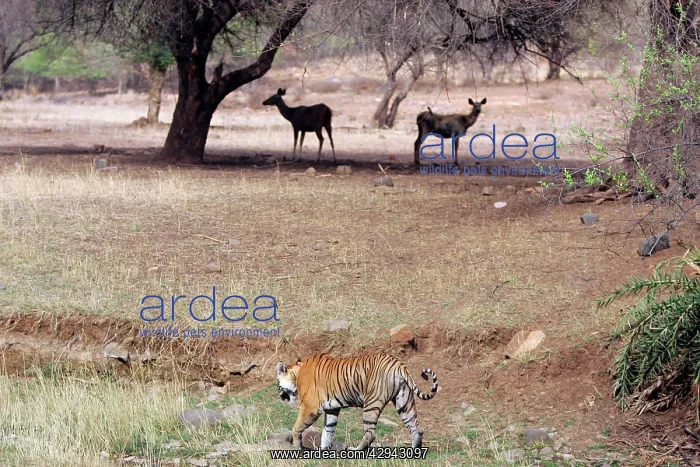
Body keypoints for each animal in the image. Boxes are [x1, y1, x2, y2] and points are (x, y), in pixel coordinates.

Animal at [275, 352, 439, 451]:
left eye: (278, 385)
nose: (280, 397)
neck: (298, 373)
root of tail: (398, 363)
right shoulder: (331, 409)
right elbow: (328, 431)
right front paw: (324, 450)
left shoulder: (310, 407)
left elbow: (297, 427)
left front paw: (297, 447)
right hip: (403, 401)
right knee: (416, 428)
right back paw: (413, 451)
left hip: (371, 404)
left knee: (370, 433)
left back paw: (356, 450)